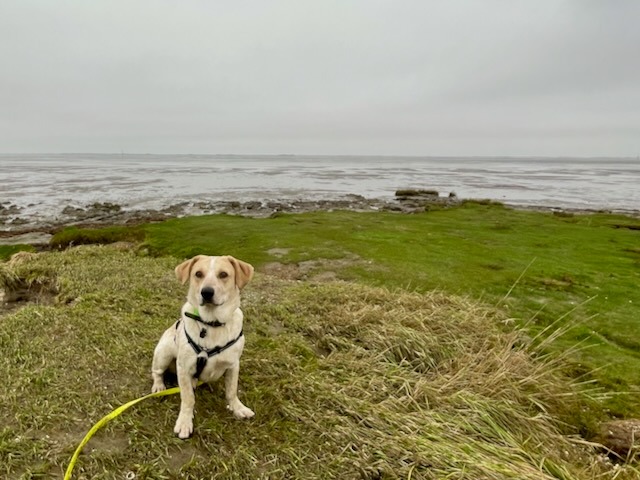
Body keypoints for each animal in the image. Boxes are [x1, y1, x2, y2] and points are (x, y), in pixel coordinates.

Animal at [151, 255, 255, 439]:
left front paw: (237, 408)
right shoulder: (184, 367)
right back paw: (158, 386)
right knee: (156, 372)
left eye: (223, 274)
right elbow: (188, 398)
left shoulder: (234, 364)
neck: (212, 324)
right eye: (198, 274)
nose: (206, 292)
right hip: (164, 353)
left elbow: (232, 391)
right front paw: (185, 421)